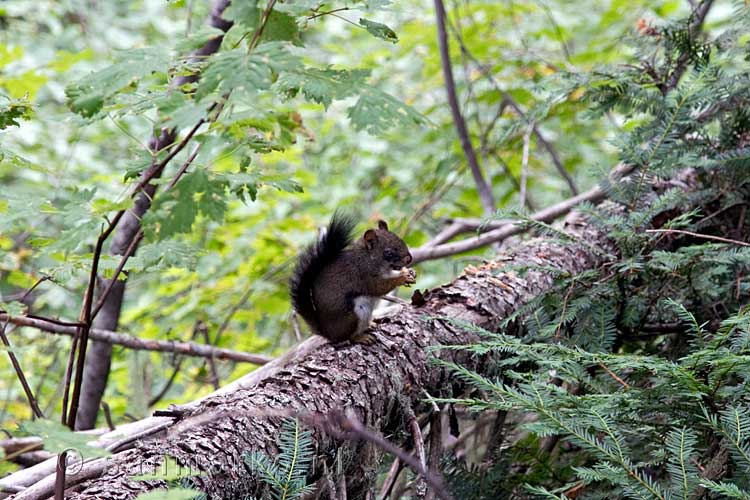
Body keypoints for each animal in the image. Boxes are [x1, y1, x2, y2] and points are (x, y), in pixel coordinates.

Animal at [290, 211, 418, 344]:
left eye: (401, 240)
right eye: (388, 252)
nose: (409, 259)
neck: (368, 257)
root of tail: (328, 333)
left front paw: (409, 272)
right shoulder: (363, 274)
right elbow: (378, 287)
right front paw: (402, 278)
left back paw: (370, 324)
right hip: (355, 314)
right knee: (348, 337)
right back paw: (361, 337)